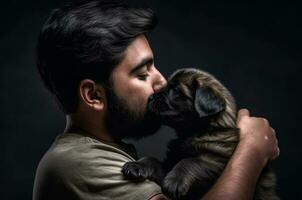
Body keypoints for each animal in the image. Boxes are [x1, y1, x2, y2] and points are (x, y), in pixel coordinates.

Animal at [121, 68, 280, 199]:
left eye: (176, 90)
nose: (150, 98)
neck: (195, 132)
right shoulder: (168, 165)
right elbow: (152, 160)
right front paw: (136, 165)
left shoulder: (217, 162)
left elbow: (191, 161)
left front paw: (174, 181)